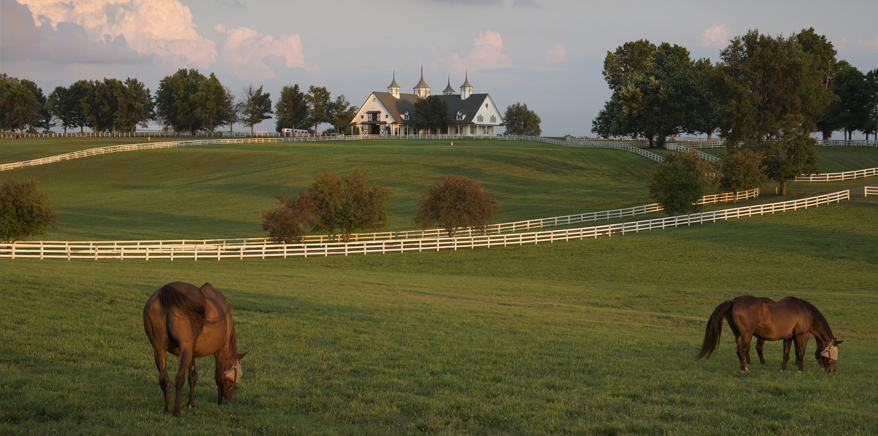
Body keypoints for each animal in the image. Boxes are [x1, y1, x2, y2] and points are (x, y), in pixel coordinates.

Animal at [144, 282, 248, 416]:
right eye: (239, 374)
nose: (232, 399)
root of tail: (166, 290)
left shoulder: (192, 353)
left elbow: (193, 376)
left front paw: (190, 403)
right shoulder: (221, 351)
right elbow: (220, 378)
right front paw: (219, 402)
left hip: (159, 348)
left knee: (164, 378)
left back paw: (168, 409)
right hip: (185, 348)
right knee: (179, 378)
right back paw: (176, 412)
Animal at [696, 296, 844, 374]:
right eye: (834, 351)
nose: (832, 369)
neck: (806, 312)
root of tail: (732, 301)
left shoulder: (788, 338)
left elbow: (786, 355)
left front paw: (782, 370)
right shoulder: (801, 335)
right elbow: (800, 353)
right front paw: (800, 370)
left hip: (738, 335)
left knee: (739, 351)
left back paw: (742, 368)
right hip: (746, 335)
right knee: (742, 351)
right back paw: (745, 369)